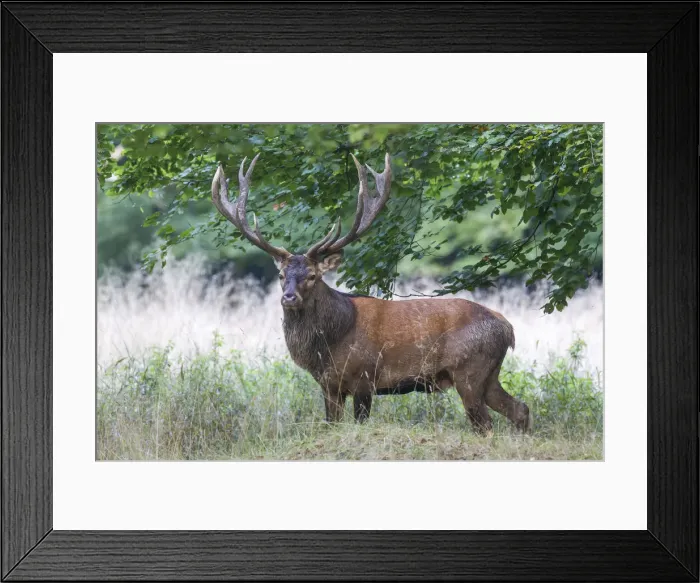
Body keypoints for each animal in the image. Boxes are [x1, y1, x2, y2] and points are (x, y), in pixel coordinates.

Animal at [211, 152, 530, 434]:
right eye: (281, 276)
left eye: (313, 276)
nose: (289, 298)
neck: (328, 344)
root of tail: (508, 328)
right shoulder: (329, 385)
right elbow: (331, 425)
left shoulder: (365, 378)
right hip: (489, 374)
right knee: (520, 408)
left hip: (469, 371)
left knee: (485, 424)